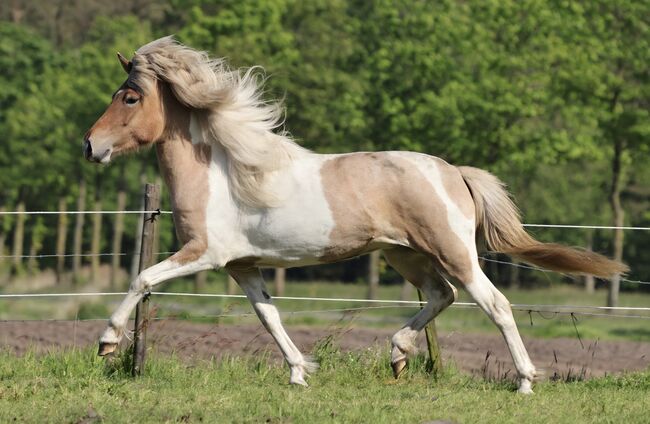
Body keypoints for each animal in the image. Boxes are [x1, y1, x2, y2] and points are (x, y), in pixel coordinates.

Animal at [83, 36, 626, 394]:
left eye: (129, 97)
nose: (90, 146)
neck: (221, 172)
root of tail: (453, 172)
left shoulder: (205, 254)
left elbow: (142, 279)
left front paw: (107, 343)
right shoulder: (244, 267)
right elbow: (269, 316)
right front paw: (299, 373)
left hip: (453, 252)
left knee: (495, 304)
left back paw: (524, 382)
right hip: (404, 256)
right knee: (441, 295)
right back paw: (398, 355)